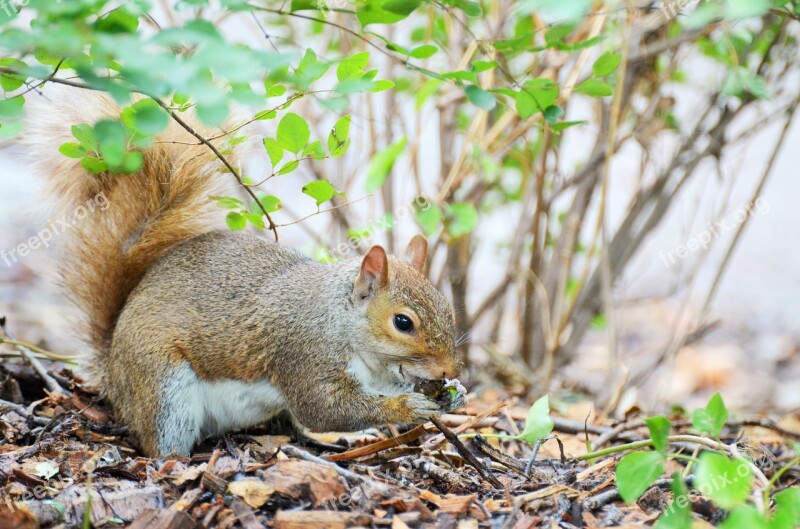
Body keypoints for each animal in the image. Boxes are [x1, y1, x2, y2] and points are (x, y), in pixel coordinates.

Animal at [25, 87, 466, 458]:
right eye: (403, 323)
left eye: (448, 309)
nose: (448, 369)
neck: (341, 323)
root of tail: (113, 371)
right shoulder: (305, 356)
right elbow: (325, 407)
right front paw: (407, 406)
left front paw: (455, 394)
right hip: (163, 387)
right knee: (161, 444)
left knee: (294, 424)